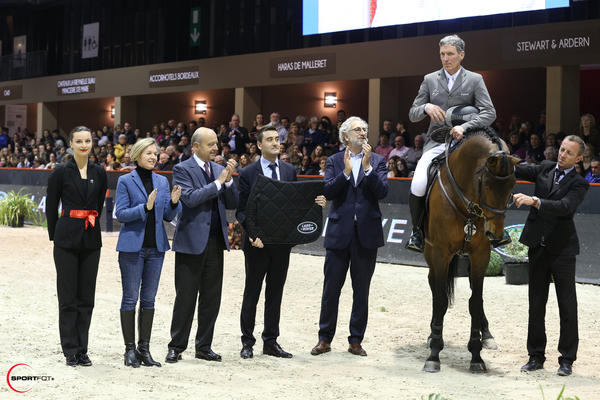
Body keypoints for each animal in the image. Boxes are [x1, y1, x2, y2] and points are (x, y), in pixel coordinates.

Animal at [422, 130, 520, 374]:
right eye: (487, 185)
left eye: (512, 186)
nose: (494, 234)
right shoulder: (440, 253)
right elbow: (440, 300)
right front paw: (434, 353)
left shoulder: (480, 255)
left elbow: (476, 302)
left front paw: (476, 355)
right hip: (430, 253)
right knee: (433, 286)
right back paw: (431, 333)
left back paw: (488, 336)